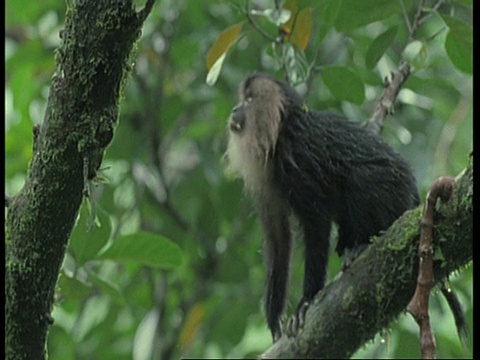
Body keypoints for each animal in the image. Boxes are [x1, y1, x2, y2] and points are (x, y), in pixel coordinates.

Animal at [227, 72, 470, 344]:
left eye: (249, 101)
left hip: (396, 197)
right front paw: (273, 318)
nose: (235, 109)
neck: (281, 134)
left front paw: (307, 299)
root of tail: (414, 199)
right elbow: (277, 237)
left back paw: (363, 243)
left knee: (361, 176)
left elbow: (317, 223)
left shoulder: (300, 156)